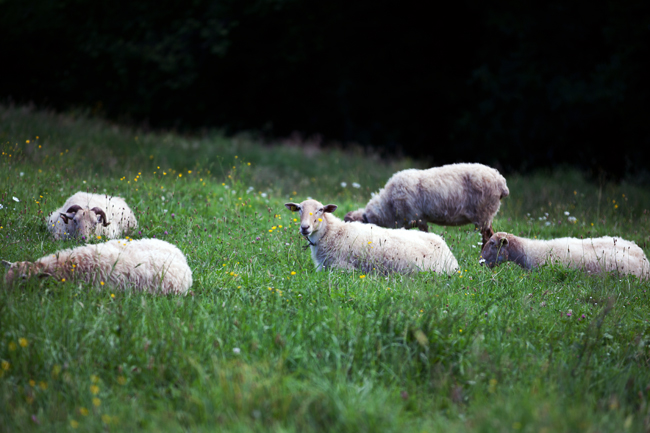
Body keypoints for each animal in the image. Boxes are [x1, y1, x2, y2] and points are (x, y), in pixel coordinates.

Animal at [342, 164, 508, 246]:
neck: (388, 205)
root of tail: (501, 182)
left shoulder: (417, 218)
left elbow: (424, 233)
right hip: (486, 216)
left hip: (484, 214)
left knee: (487, 237)